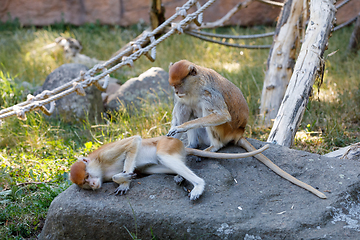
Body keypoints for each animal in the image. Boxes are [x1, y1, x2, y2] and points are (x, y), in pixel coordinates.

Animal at [69, 135, 268, 201]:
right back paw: (179, 177)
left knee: (162, 155)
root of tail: (182, 145)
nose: (92, 185)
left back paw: (198, 186)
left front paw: (124, 181)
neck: (99, 167)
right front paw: (124, 180)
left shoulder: (104, 155)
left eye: (86, 177)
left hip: (167, 144)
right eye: (85, 184)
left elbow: (134, 141)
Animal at [167, 59, 328, 199]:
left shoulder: (209, 93)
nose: (176, 91)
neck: (195, 85)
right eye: (173, 85)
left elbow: (222, 115)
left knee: (210, 119)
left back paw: (212, 148)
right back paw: (193, 146)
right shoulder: (183, 97)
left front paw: (181, 128)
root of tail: (239, 132)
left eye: (179, 84)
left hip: (225, 130)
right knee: (187, 108)